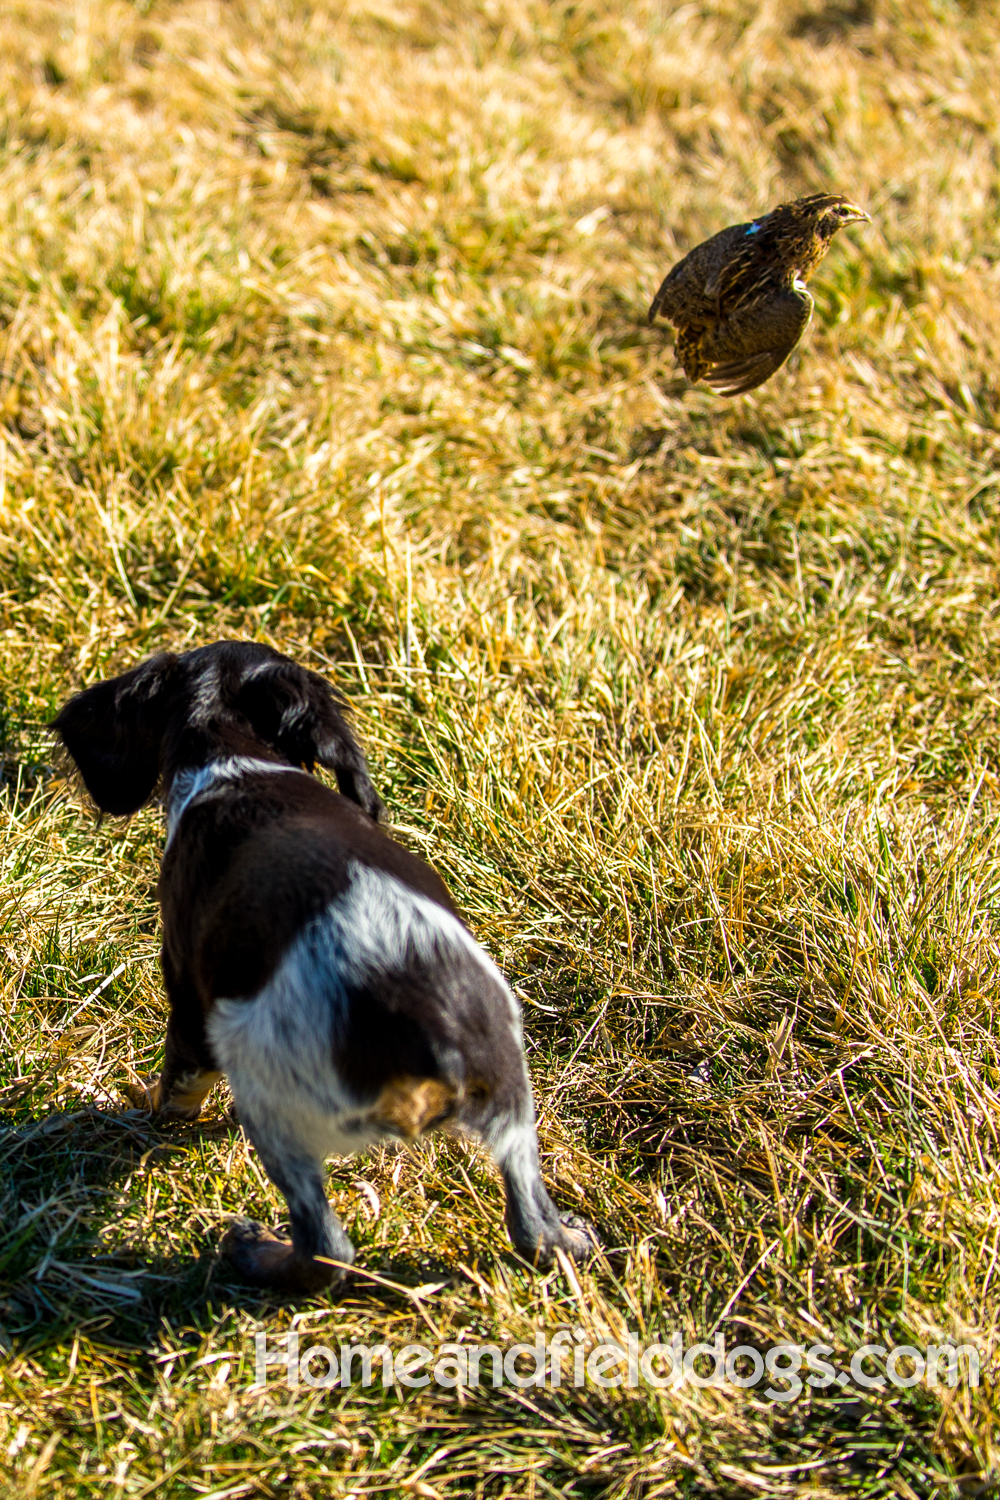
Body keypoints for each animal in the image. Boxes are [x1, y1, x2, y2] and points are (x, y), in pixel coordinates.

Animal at [54, 639, 599, 1296]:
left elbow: (178, 1086)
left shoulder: (189, 992)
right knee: (534, 1228)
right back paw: (573, 1238)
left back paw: (254, 1254)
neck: (238, 760)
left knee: (327, 1249)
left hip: (271, 1095)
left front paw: (152, 1113)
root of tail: (427, 1027)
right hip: (511, 1089)